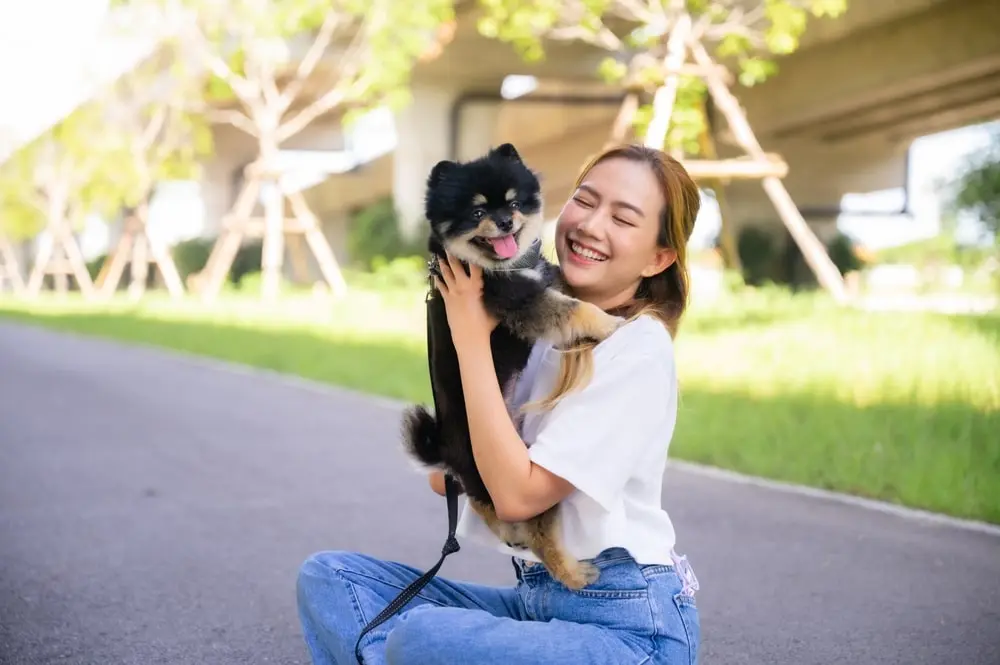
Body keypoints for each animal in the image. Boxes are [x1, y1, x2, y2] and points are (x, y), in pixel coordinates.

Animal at [400, 143, 620, 588]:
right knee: (536, 533)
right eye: (477, 212)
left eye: (514, 203)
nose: (504, 221)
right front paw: (608, 321)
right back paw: (572, 574)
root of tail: (446, 450)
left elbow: (563, 286)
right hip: (518, 479)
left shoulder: (541, 277)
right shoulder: (517, 300)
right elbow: (573, 309)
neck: (502, 266)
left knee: (483, 504)